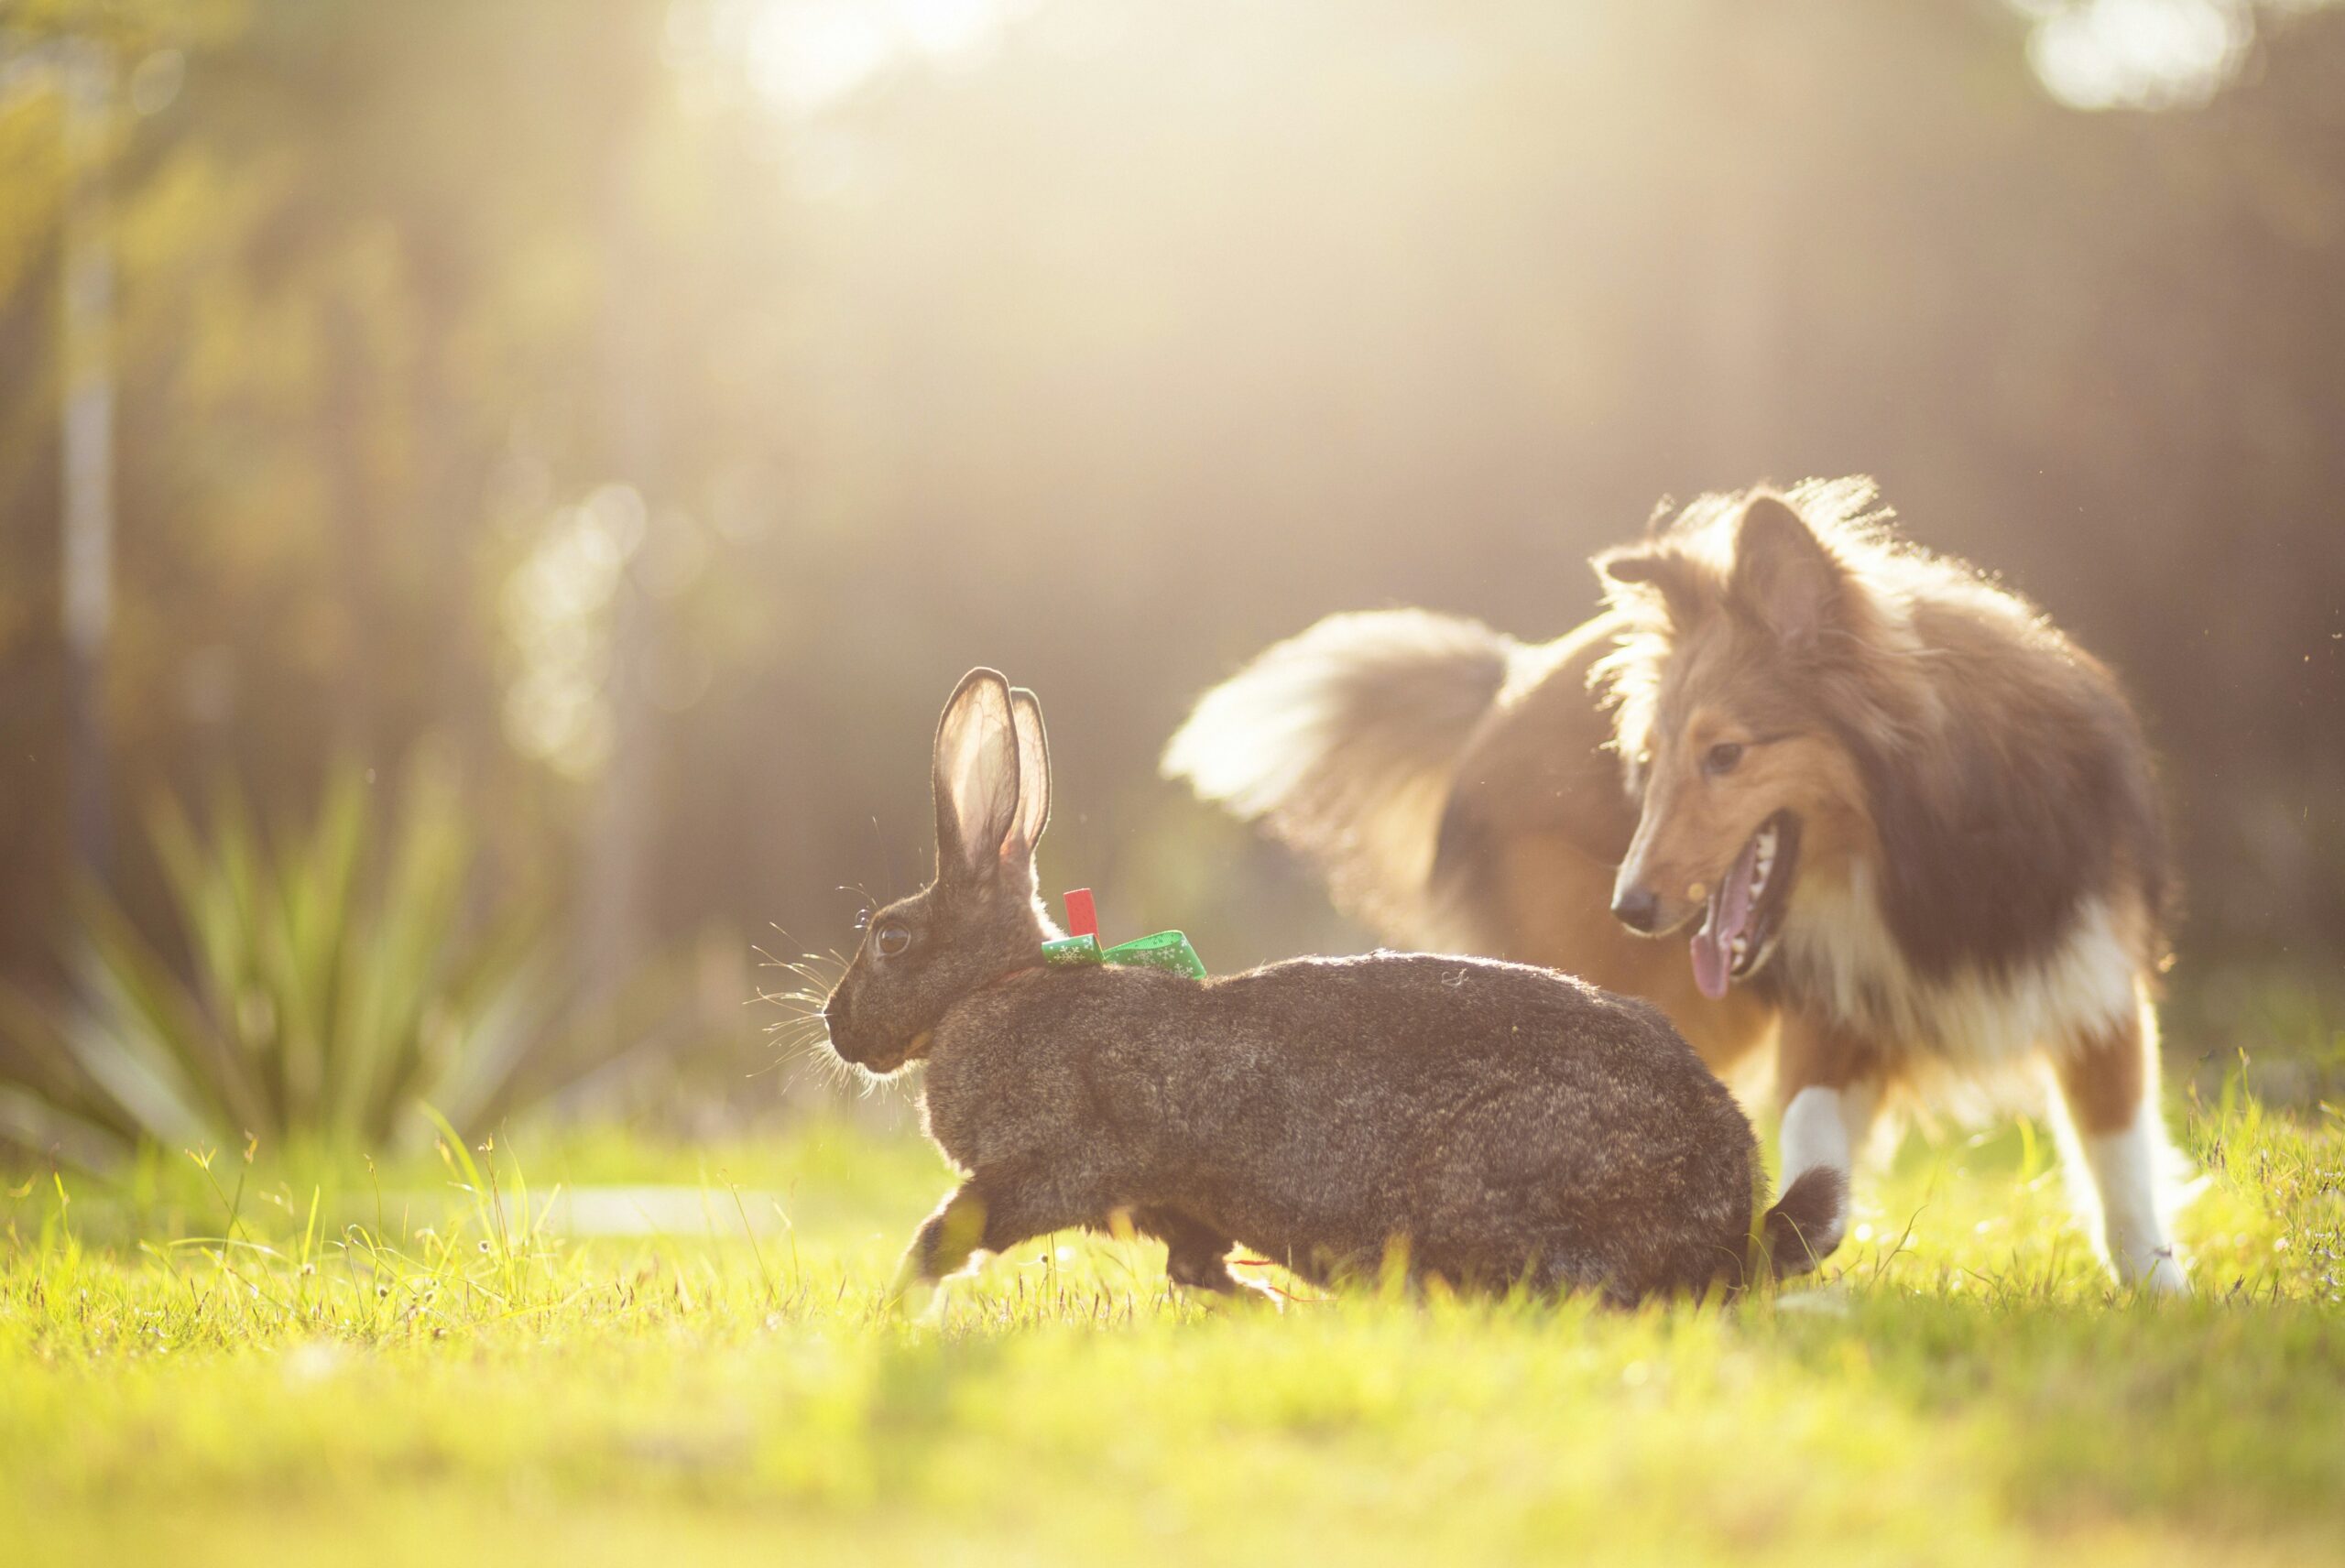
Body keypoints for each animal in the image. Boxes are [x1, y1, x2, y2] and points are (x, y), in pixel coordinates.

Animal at [815, 665, 1838, 1302]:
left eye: (890, 937)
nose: (833, 1026)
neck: (997, 984)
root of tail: (1732, 1222)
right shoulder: (1176, 1207)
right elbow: (1196, 1263)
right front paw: (1263, 1303)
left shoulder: (1058, 1161)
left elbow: (954, 1228)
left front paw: (898, 1303)